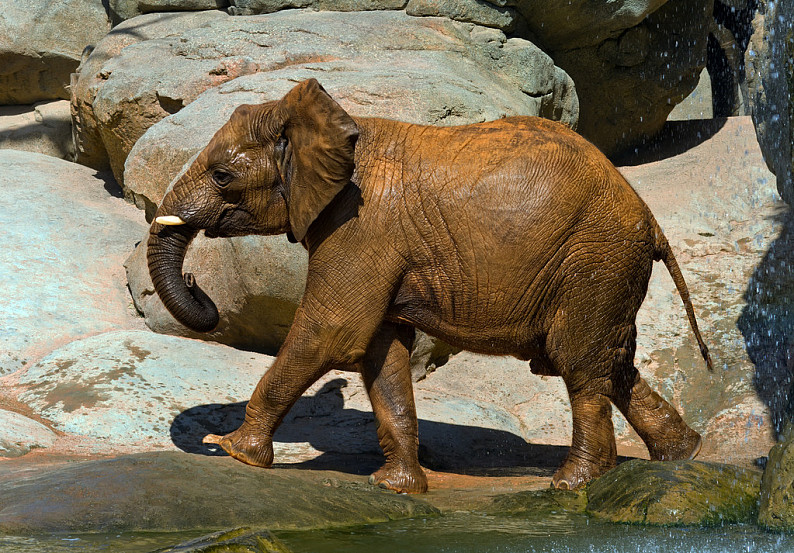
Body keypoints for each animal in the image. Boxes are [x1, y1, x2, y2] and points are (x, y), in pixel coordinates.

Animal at [148, 77, 712, 492]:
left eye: (222, 176)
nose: (200, 289)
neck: (335, 124)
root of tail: (650, 219)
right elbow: (381, 353)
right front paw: (396, 487)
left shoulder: (360, 226)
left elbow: (330, 333)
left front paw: (232, 450)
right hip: (607, 269)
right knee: (615, 366)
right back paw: (683, 456)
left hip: (593, 260)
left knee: (580, 365)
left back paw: (572, 484)